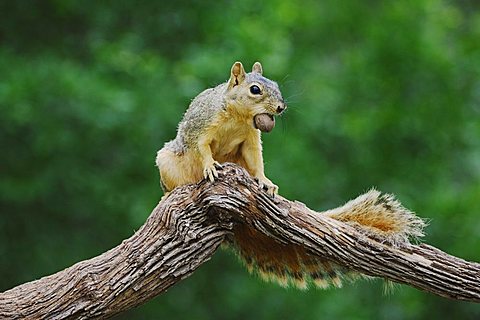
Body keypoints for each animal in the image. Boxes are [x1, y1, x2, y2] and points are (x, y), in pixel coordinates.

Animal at [156, 61, 426, 288]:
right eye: (255, 89)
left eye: (276, 85)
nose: (280, 107)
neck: (239, 117)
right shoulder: (202, 125)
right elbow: (202, 148)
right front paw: (211, 166)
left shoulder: (251, 139)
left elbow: (256, 159)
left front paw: (265, 182)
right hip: (167, 162)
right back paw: (170, 194)